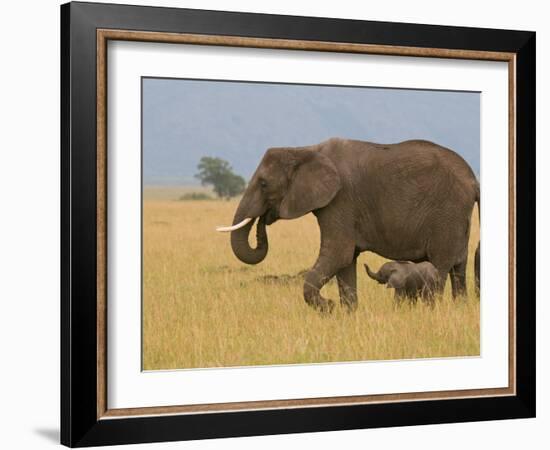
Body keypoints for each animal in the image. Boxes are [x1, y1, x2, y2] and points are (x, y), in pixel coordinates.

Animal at [218, 138, 480, 312]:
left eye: (263, 184)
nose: (265, 218)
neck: (305, 150)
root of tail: (474, 180)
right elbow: (346, 262)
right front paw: (347, 313)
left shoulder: (340, 200)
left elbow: (338, 255)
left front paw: (329, 308)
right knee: (458, 268)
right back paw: (460, 309)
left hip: (447, 214)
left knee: (440, 266)